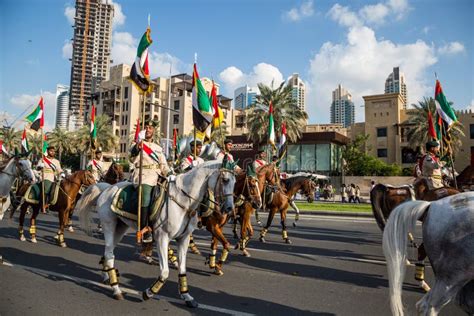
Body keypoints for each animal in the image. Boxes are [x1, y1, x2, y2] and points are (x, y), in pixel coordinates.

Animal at [78, 160, 237, 306]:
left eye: (235, 181)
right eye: (225, 180)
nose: (229, 208)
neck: (183, 201)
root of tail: (107, 188)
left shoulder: (183, 239)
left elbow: (182, 268)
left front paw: (186, 296)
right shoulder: (162, 238)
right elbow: (165, 271)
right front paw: (149, 292)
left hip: (120, 228)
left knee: (107, 252)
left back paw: (107, 277)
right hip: (109, 226)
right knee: (110, 254)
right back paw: (116, 289)